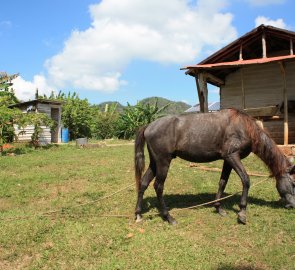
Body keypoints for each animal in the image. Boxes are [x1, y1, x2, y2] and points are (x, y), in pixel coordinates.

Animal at [135, 108, 295, 225]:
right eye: (293, 183)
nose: (293, 206)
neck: (244, 127)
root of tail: (149, 126)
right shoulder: (232, 156)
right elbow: (246, 180)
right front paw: (242, 212)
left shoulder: (227, 160)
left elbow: (222, 182)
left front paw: (218, 208)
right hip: (163, 162)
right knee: (158, 186)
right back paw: (168, 217)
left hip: (155, 162)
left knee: (143, 183)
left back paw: (138, 214)